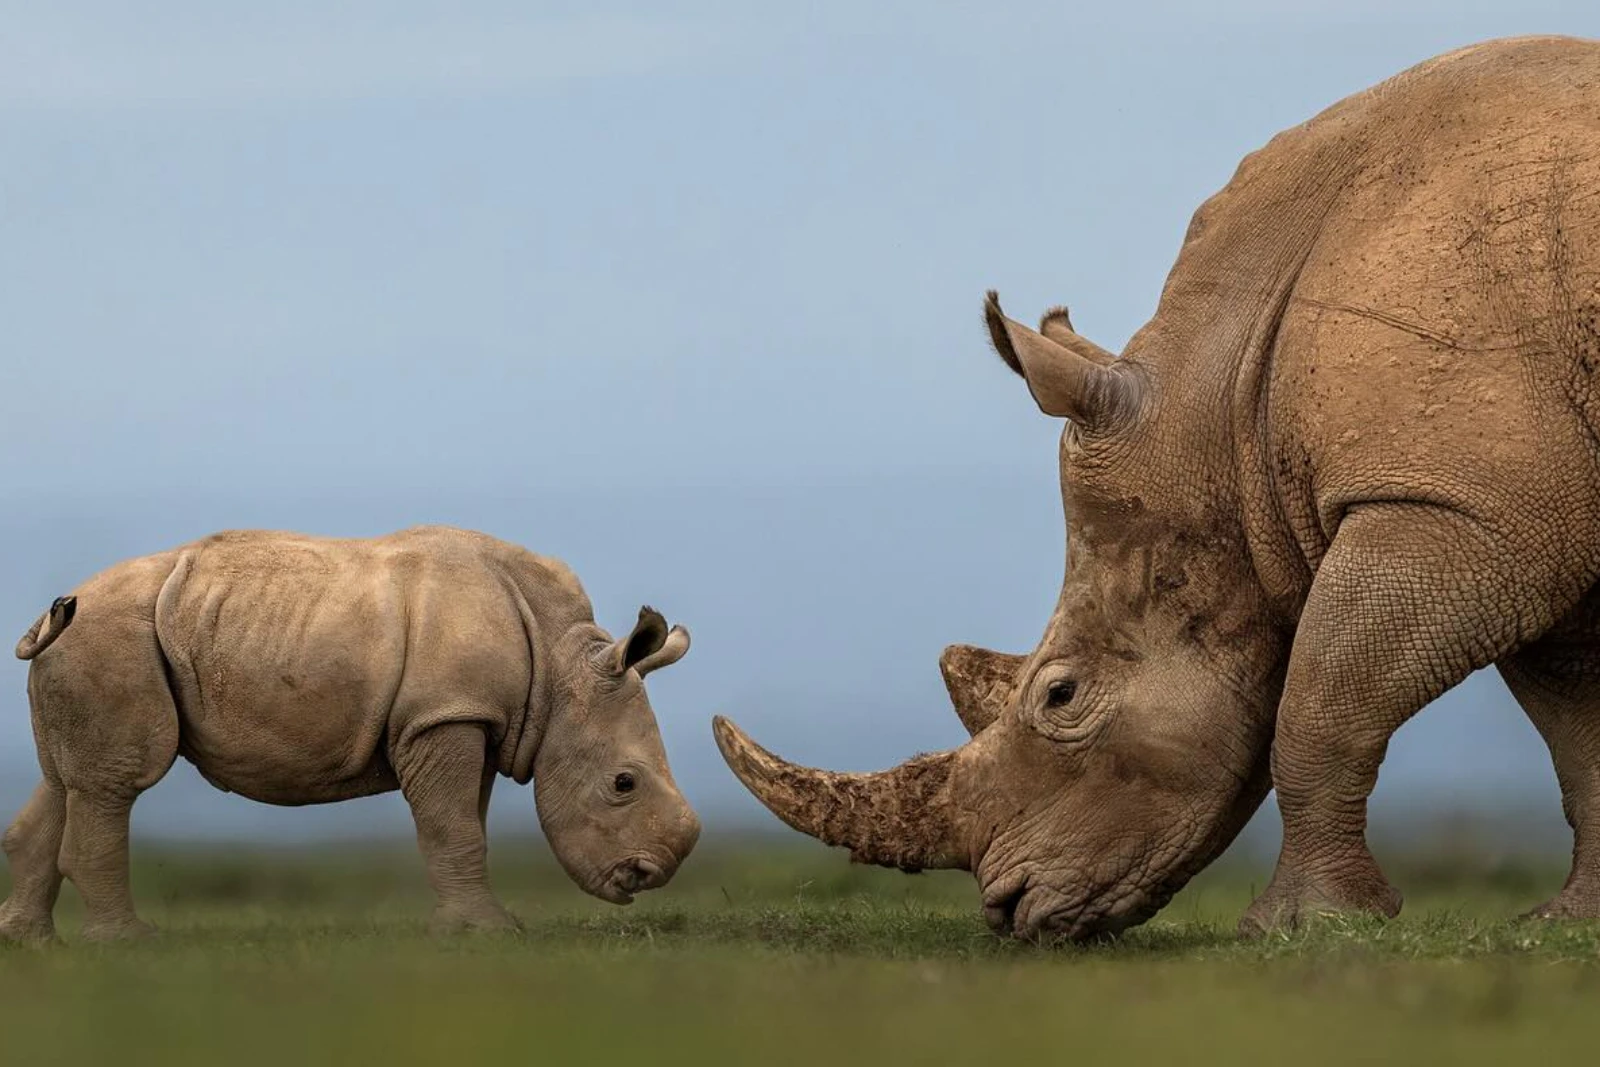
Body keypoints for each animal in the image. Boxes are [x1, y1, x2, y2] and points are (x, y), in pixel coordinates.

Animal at [0, 526, 701, 942]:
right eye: (623, 783)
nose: (645, 875)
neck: (561, 667)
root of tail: (53, 614)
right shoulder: (445, 714)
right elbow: (454, 827)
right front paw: (490, 931)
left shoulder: (464, 714)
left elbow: (461, 822)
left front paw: (460, 926)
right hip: (109, 636)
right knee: (117, 781)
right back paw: (126, 942)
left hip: (86, 640)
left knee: (65, 781)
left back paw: (33, 945)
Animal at [715, 35, 1600, 940]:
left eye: (1061, 695)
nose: (1009, 911)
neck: (1225, 415)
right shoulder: (1523, 516)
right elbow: (1579, 732)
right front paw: (1571, 923)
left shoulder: (1455, 507)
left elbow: (1318, 704)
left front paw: (1298, 924)